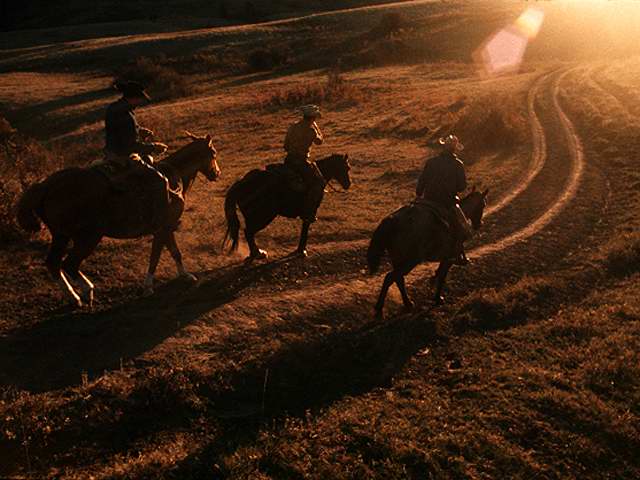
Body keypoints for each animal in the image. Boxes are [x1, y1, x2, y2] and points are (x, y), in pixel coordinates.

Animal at [16, 132, 221, 307]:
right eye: (213, 153)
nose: (217, 174)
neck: (173, 176)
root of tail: (46, 186)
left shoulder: (167, 228)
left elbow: (175, 252)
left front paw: (185, 275)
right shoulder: (162, 228)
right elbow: (155, 256)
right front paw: (148, 286)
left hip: (61, 236)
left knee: (53, 263)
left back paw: (74, 297)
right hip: (88, 236)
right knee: (70, 263)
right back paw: (87, 290)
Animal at [223, 154, 352, 260]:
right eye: (346, 167)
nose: (348, 184)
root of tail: (241, 184)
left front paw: (300, 250)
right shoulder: (310, 211)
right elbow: (305, 227)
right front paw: (301, 251)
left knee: (248, 233)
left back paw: (255, 253)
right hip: (263, 217)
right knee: (249, 232)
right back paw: (258, 253)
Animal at [367, 188, 488, 317]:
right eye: (483, 204)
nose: (479, 224)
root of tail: (392, 221)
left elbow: (439, 273)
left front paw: (433, 282)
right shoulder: (448, 258)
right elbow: (442, 276)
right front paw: (438, 298)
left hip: (398, 260)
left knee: (398, 279)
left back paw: (407, 303)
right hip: (410, 261)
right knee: (390, 277)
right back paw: (379, 308)